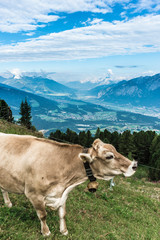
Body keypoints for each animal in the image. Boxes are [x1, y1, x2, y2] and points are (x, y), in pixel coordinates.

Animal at [0, 133, 138, 236]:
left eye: (115, 149)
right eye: (109, 156)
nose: (134, 165)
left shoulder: (63, 194)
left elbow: (62, 214)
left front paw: (64, 231)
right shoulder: (34, 194)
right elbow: (43, 215)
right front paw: (46, 232)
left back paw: (8, 204)